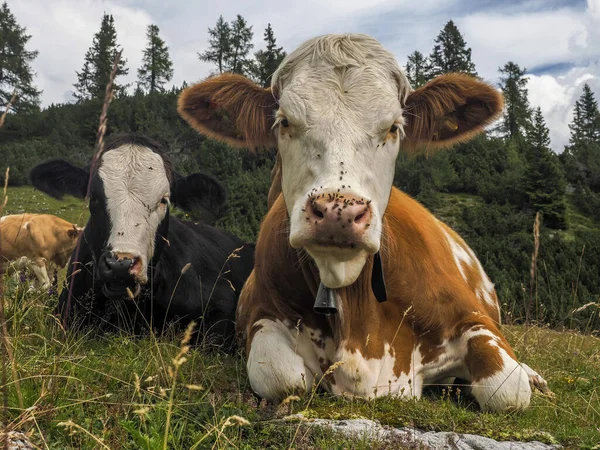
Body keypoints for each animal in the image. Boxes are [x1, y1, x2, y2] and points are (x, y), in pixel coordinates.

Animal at [177, 33, 548, 410]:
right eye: (285, 122)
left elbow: (508, 390)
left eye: (394, 128)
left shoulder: (472, 318)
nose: (338, 212)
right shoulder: (263, 315)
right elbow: (281, 377)